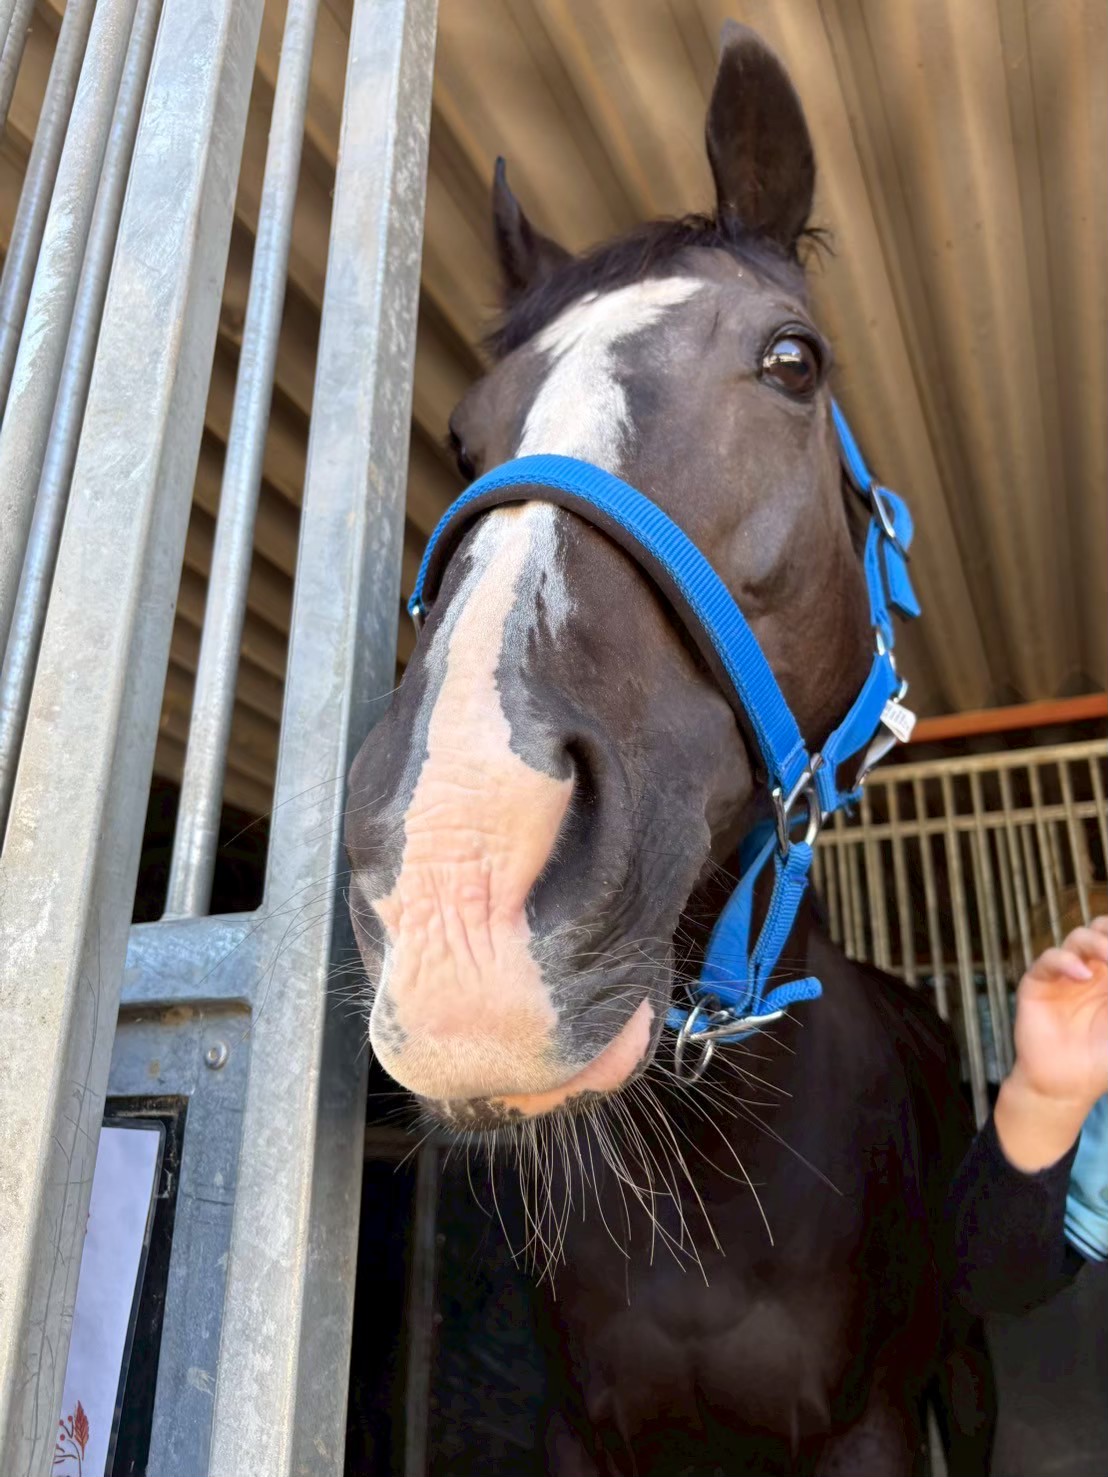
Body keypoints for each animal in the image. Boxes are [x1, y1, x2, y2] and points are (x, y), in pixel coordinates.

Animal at [345, 22, 994, 1476]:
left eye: (794, 362)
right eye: (463, 435)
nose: (460, 875)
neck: (711, 1180)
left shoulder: (870, 1427)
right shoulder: (582, 1431)